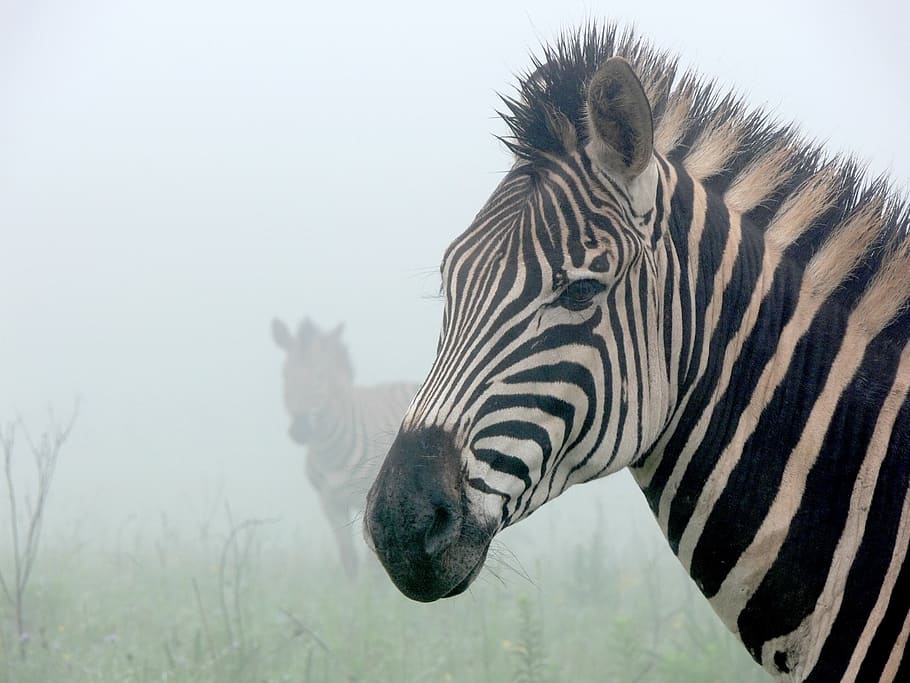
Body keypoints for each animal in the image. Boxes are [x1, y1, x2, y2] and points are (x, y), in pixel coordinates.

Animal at [271, 317, 417, 577]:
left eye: (319, 377)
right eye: (285, 376)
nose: (300, 431)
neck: (329, 451)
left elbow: (373, 566)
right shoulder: (329, 501)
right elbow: (348, 558)